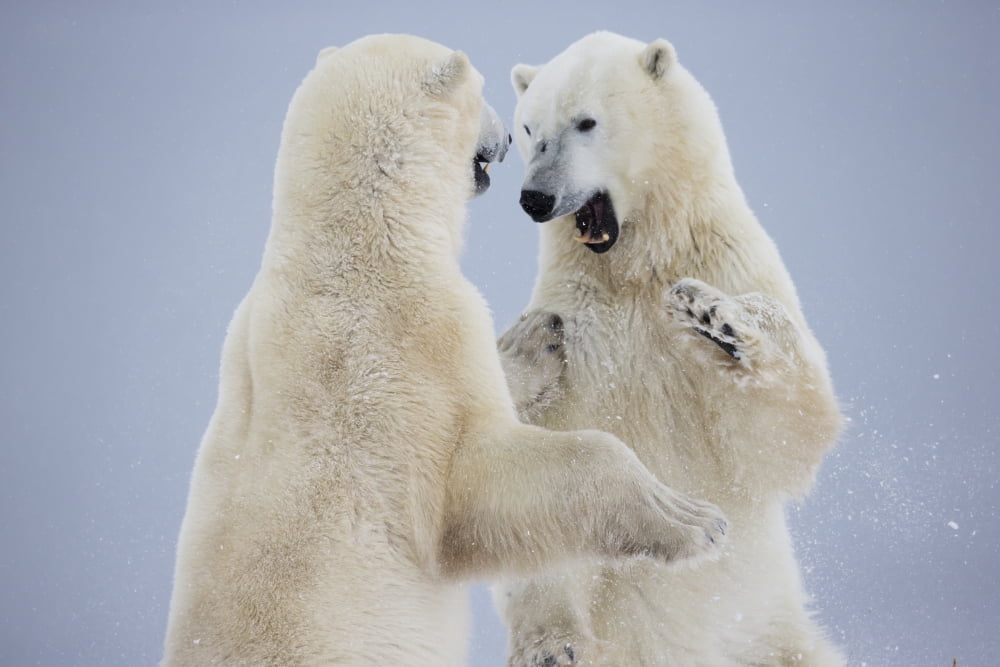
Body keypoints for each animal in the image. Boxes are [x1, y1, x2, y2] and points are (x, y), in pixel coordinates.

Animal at [161, 34, 729, 667]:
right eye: (483, 92)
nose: (504, 136)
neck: (348, 253)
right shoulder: (405, 357)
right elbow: (481, 484)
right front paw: (694, 519)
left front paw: (536, 337)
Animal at [493, 31, 846, 666]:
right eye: (528, 128)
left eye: (586, 121)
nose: (536, 197)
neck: (632, 271)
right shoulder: (575, 329)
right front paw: (551, 643)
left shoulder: (727, 260)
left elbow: (781, 438)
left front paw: (716, 318)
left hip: (770, 635)